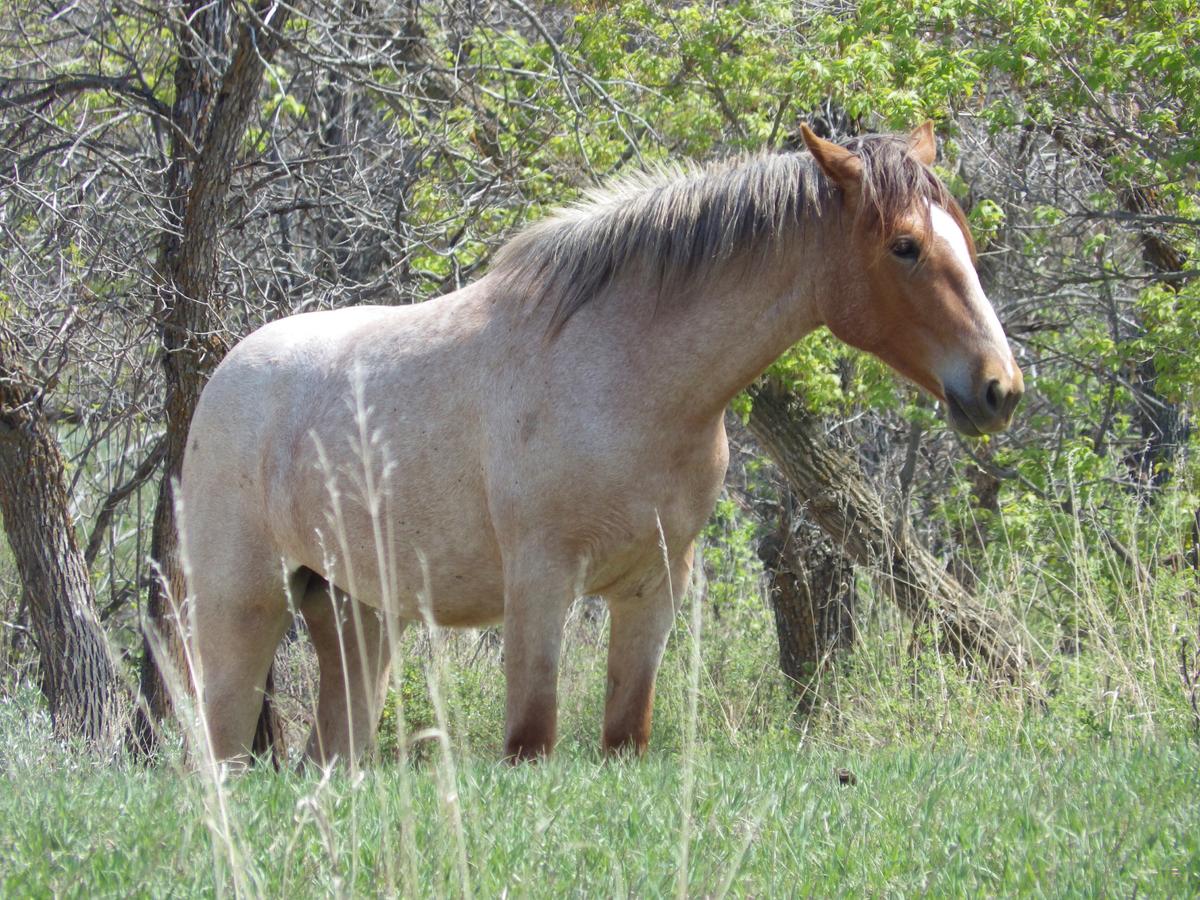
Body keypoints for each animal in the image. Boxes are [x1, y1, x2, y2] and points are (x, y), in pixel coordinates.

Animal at [180, 123, 1023, 765]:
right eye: (905, 246)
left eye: (963, 238)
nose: (999, 388)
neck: (627, 375)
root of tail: (227, 372)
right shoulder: (541, 583)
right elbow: (531, 741)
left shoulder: (652, 587)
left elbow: (625, 736)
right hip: (240, 614)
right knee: (220, 755)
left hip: (357, 620)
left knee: (330, 755)